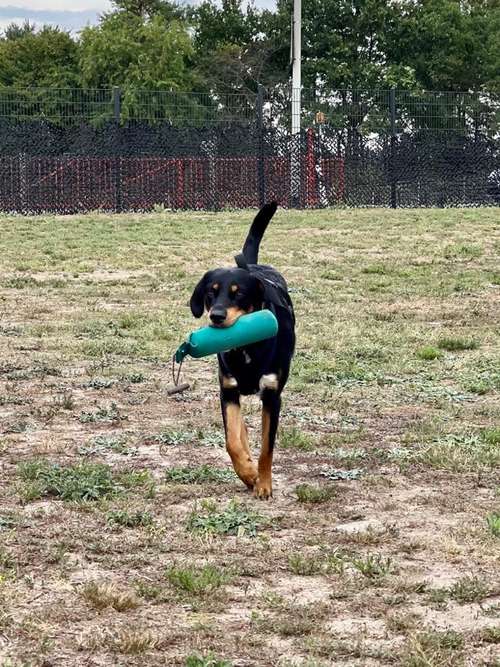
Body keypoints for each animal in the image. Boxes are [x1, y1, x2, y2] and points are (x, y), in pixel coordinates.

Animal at [189, 201, 294, 498]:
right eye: (210, 293)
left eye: (239, 294)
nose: (216, 316)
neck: (246, 349)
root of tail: (255, 266)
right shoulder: (228, 391)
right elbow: (232, 441)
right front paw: (247, 473)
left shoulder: (272, 395)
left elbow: (267, 449)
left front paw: (263, 485)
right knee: (240, 432)